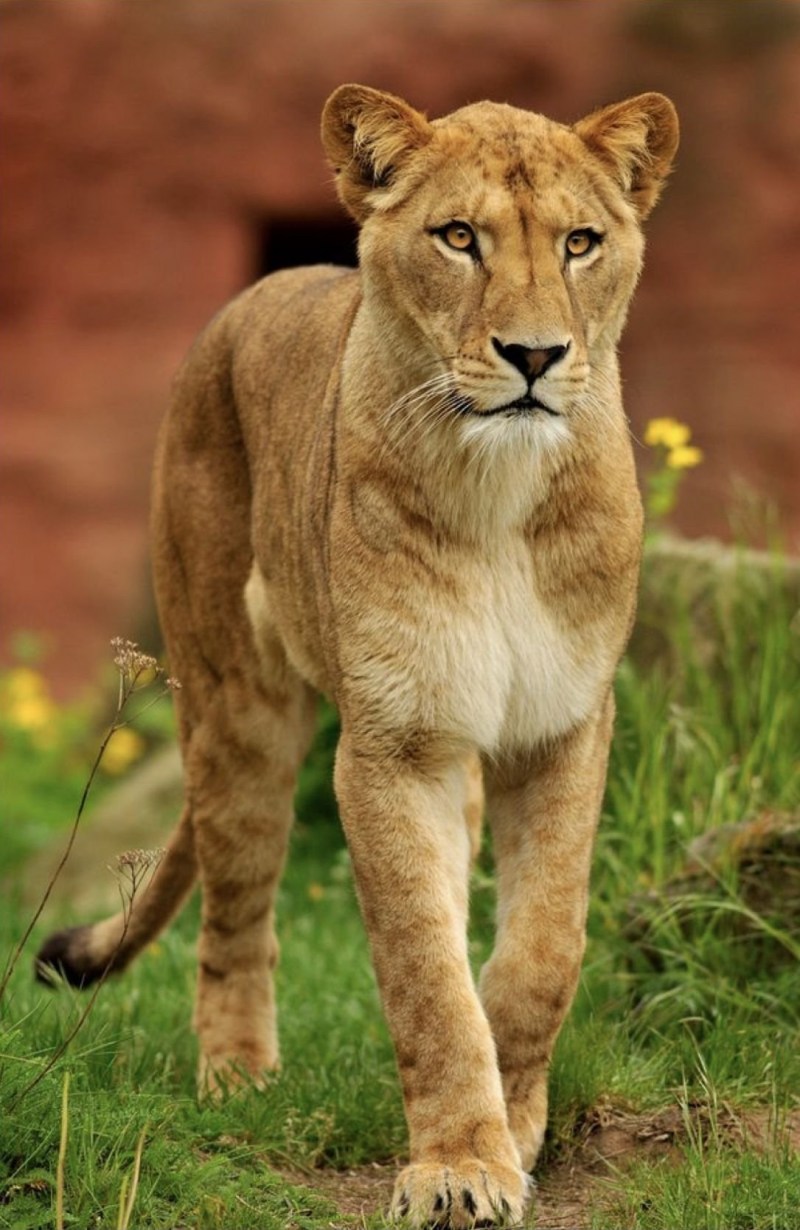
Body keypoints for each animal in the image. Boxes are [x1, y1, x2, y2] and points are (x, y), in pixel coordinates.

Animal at [37, 85, 678, 1227]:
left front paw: (514, 1127)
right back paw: (237, 1079)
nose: (534, 357)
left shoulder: (563, 724)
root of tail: (260, 289)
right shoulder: (394, 745)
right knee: (236, 915)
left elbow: (539, 952)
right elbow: (424, 971)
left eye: (580, 243)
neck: (499, 491)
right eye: (458, 237)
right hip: (235, 710)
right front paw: (459, 1166)